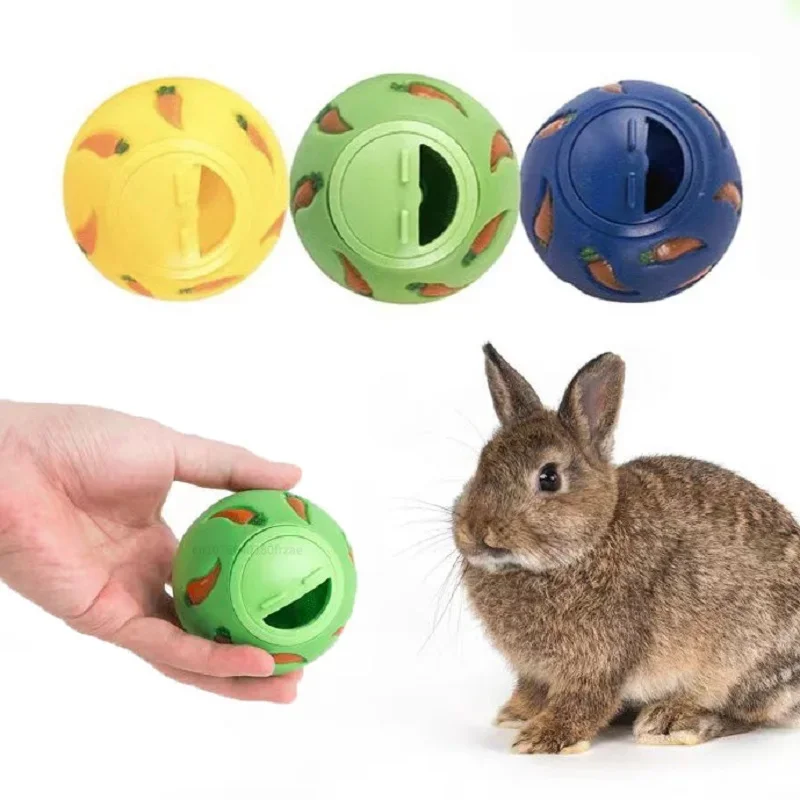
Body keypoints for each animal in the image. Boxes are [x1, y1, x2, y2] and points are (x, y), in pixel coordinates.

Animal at [452, 343, 800, 755]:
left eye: (549, 477)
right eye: (481, 464)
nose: (476, 531)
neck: (591, 539)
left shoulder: (600, 659)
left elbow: (585, 701)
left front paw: (542, 738)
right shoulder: (534, 671)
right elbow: (532, 689)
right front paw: (516, 715)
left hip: (742, 662)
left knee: (745, 713)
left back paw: (672, 721)